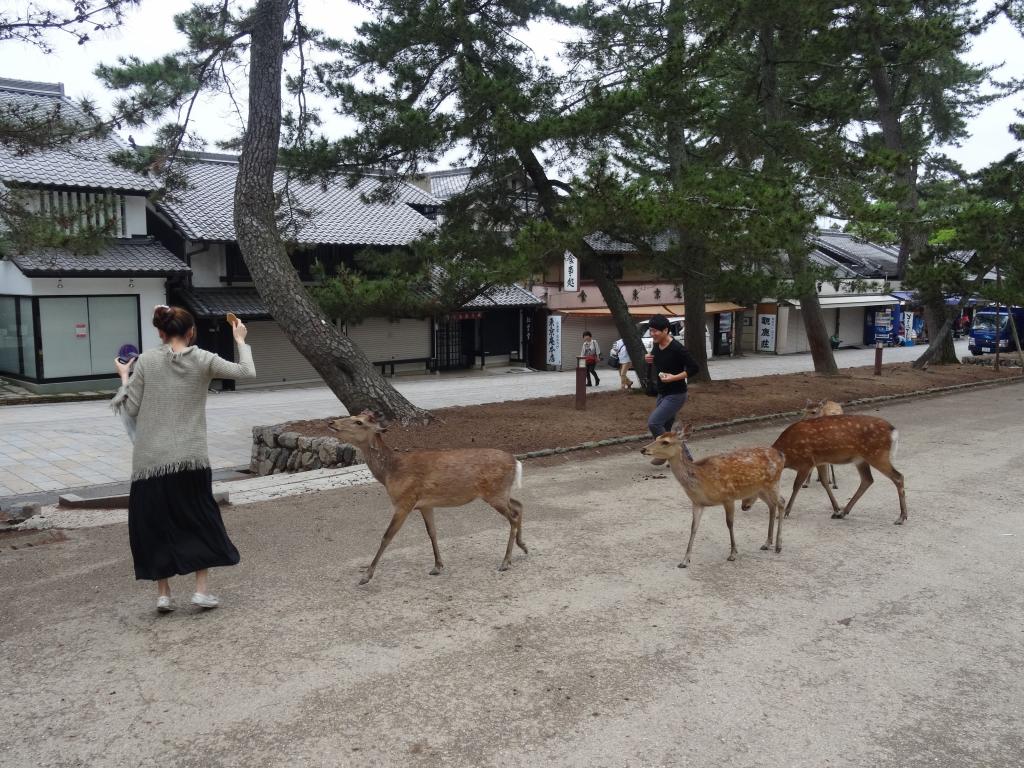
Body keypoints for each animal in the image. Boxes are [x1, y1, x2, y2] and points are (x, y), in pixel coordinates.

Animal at [329, 411, 528, 585]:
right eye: (353, 416)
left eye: (359, 422)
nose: (332, 422)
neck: (389, 474)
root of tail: (516, 461)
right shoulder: (425, 505)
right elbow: (432, 532)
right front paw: (437, 566)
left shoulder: (404, 501)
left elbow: (387, 536)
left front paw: (366, 576)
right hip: (501, 493)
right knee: (519, 505)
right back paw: (523, 546)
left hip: (495, 493)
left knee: (513, 516)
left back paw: (506, 561)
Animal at [638, 428, 782, 573]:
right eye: (657, 437)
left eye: (665, 442)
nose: (643, 449)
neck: (702, 480)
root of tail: (780, 455)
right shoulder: (697, 503)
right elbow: (693, 527)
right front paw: (684, 561)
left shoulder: (728, 497)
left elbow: (729, 524)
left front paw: (733, 554)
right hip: (760, 489)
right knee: (772, 505)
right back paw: (767, 543)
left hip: (772, 483)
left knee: (781, 502)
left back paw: (778, 546)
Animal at [757, 415, 909, 528]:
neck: (788, 455)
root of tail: (893, 431)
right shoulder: (820, 461)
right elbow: (825, 482)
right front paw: (836, 508)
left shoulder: (806, 461)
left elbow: (796, 486)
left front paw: (785, 512)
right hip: (861, 459)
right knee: (867, 479)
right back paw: (843, 512)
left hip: (877, 454)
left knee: (898, 476)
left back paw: (901, 517)